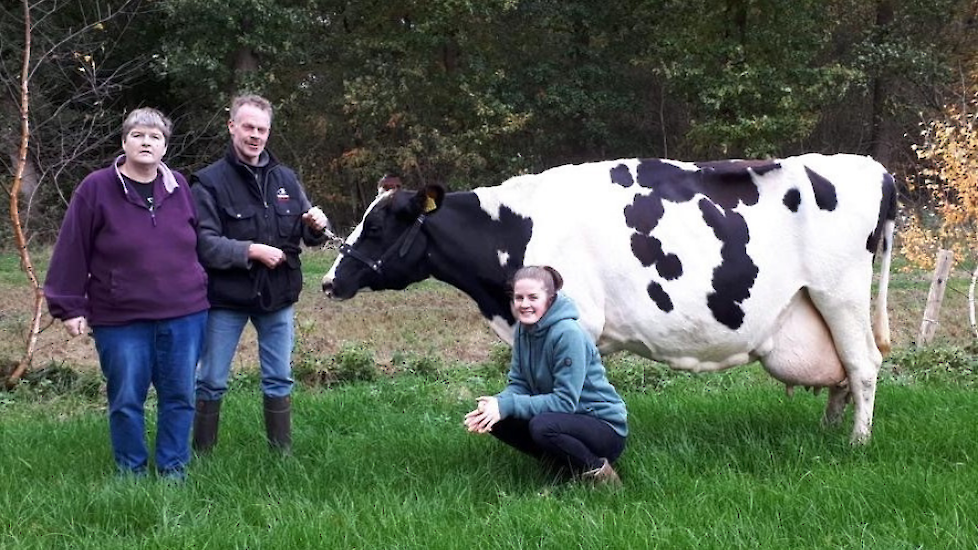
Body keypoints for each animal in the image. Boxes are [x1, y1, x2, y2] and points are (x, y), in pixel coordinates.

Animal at [322, 154, 892, 444]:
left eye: (377, 225)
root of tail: (875, 167)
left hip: (839, 291)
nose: (329, 281)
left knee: (864, 365)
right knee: (842, 371)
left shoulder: (581, 322)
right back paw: (828, 432)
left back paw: (856, 445)